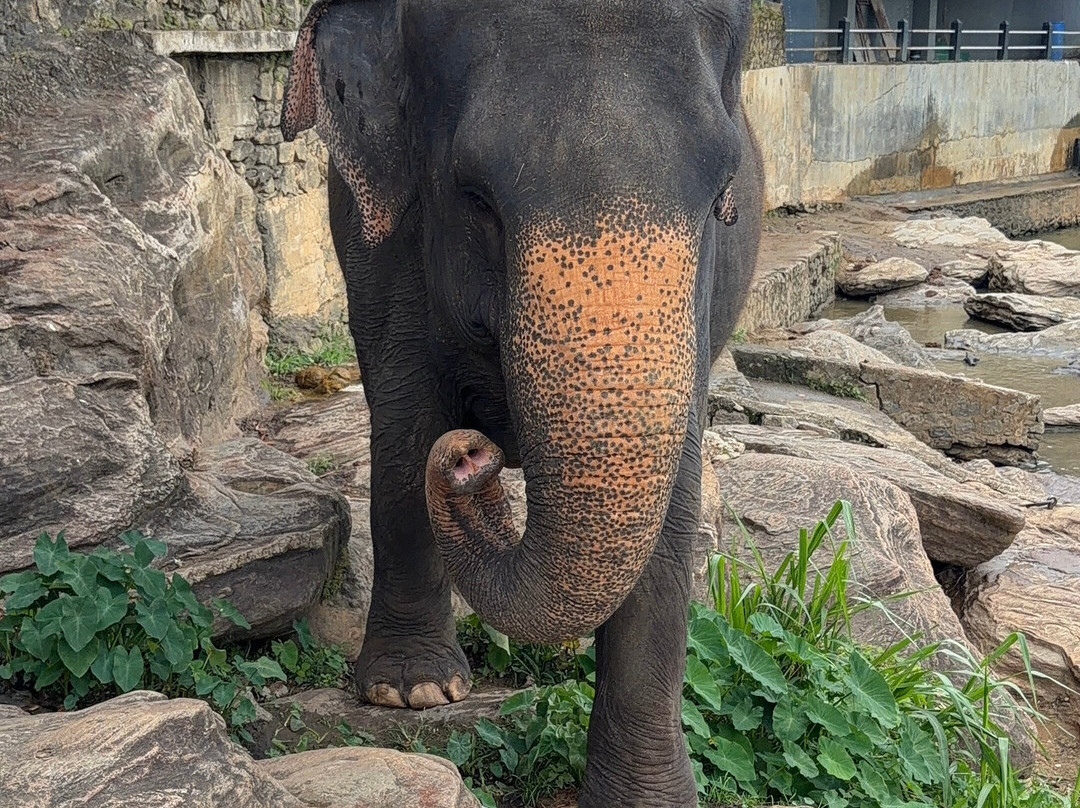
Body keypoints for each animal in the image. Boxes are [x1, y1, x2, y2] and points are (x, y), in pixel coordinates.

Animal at [282, 0, 763, 804]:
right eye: (475, 197)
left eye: (721, 190)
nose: (471, 456)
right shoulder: (382, 240)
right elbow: (406, 417)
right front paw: (410, 693)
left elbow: (674, 492)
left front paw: (647, 800)